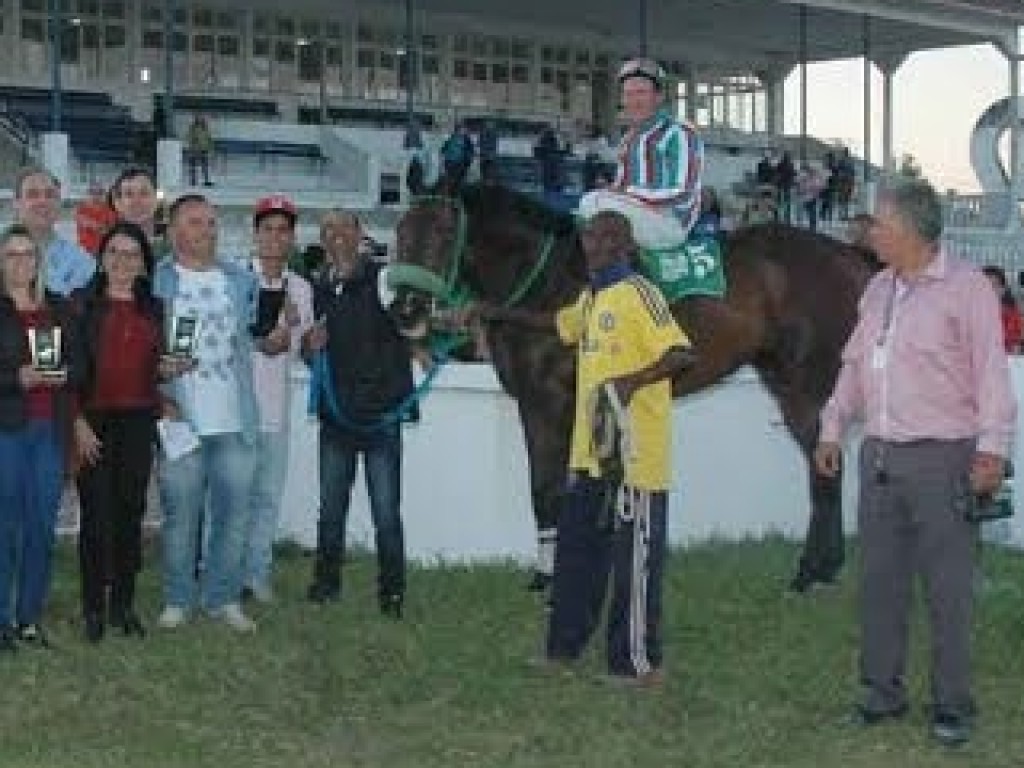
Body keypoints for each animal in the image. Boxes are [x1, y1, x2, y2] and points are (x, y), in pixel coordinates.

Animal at [391, 183, 872, 593]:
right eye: (399, 231)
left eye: (442, 231)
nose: (404, 310)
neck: (549, 283)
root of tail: (848, 253)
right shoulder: (541, 405)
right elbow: (548, 489)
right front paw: (551, 573)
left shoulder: (553, 403)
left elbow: (556, 488)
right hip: (788, 385)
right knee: (822, 463)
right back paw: (819, 569)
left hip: (811, 383)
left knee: (824, 468)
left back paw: (810, 573)